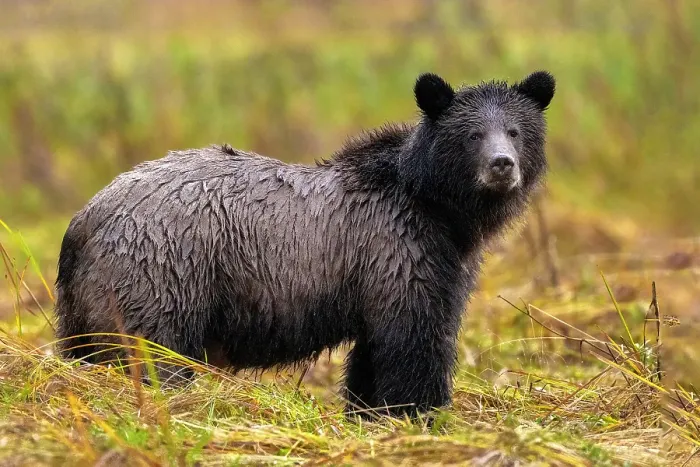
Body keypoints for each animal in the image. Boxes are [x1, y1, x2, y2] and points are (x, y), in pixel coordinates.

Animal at [54, 70, 555, 419]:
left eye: (516, 130)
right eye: (472, 134)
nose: (502, 165)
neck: (440, 209)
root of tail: (86, 216)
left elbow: (371, 358)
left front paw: (367, 413)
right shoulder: (399, 254)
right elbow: (414, 346)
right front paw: (420, 413)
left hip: (84, 304)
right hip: (162, 272)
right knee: (155, 355)